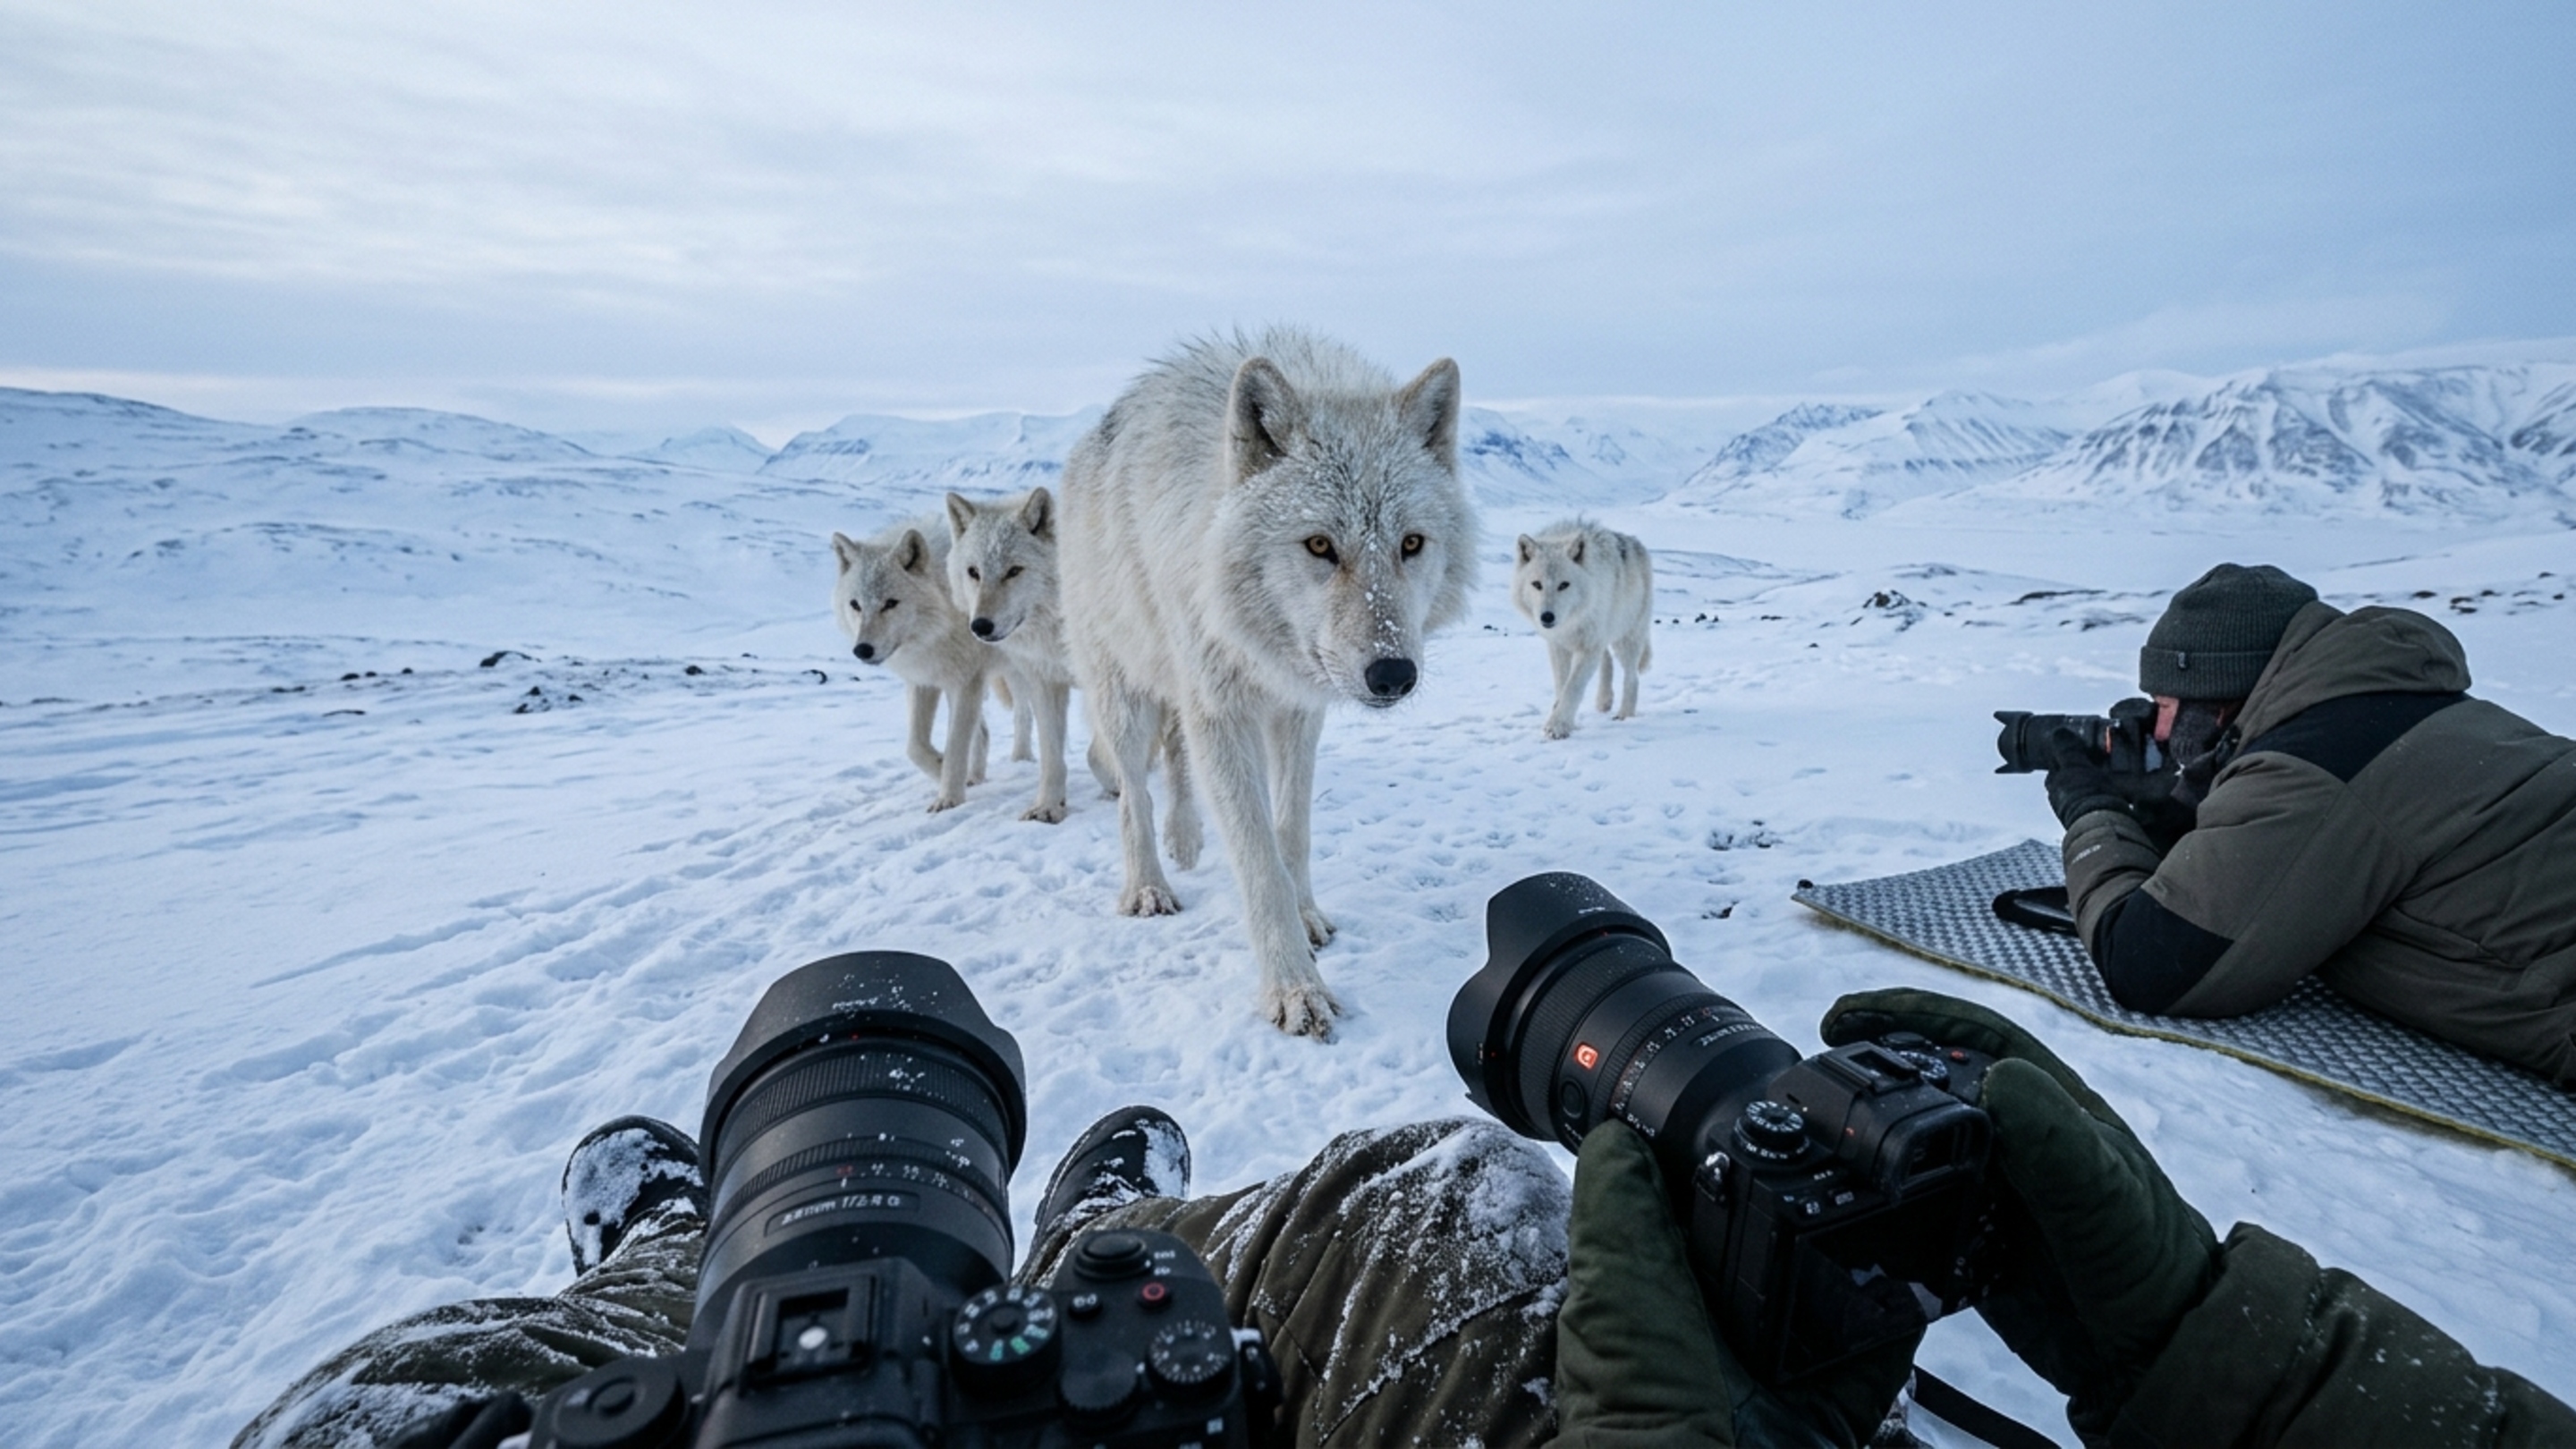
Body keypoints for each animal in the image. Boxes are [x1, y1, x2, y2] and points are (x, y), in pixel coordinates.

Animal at [830, 518, 997, 812]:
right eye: (855, 605)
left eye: (890, 603)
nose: (862, 650)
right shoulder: (924, 679)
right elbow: (915, 747)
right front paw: (943, 772)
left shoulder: (967, 681)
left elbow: (955, 744)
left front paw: (948, 799)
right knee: (984, 733)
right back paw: (976, 778)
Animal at [1060, 328, 1476, 1037]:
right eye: (1320, 546)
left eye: (1411, 544)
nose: (1394, 674)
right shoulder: (1223, 712)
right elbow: (1258, 861)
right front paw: (1294, 989)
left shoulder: (1297, 711)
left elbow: (1292, 831)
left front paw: (1306, 916)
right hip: (1125, 695)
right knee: (1132, 796)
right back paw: (1148, 885)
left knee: (1175, 765)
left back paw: (1187, 841)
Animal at [1512, 519, 1653, 740]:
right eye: (1536, 584)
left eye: (1564, 585)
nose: (1547, 617)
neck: (1571, 622)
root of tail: (1636, 543)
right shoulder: (1558, 646)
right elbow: (1562, 686)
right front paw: (1565, 721)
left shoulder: (1588, 647)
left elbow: (1573, 687)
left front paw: (1557, 726)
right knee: (1607, 659)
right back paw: (1604, 701)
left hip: (1626, 639)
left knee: (1632, 677)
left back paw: (1625, 714)